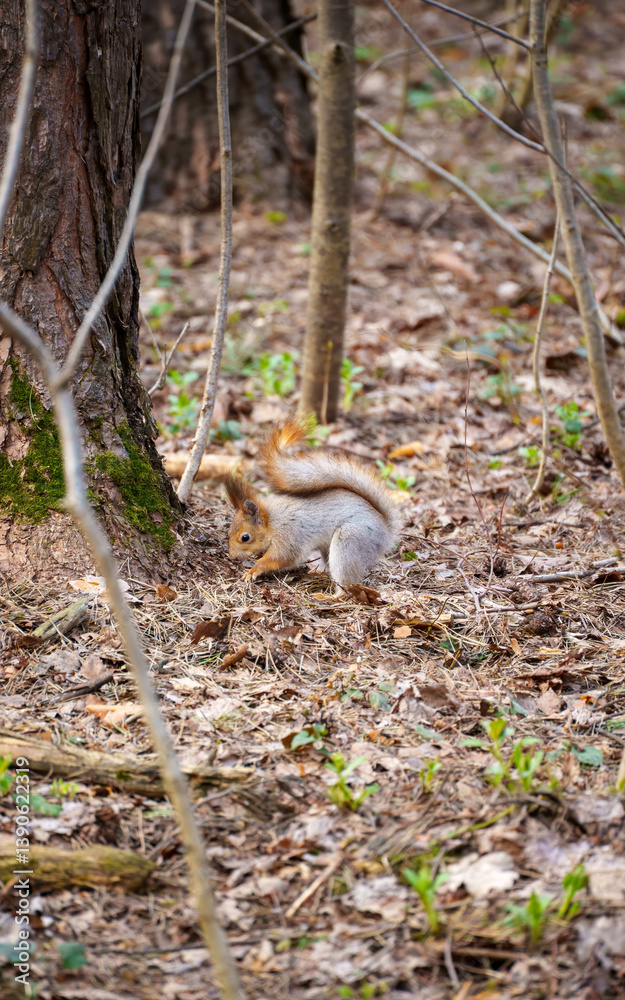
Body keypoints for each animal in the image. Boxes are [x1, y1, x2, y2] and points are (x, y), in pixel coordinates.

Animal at [224, 418, 403, 587]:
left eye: (245, 537)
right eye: (228, 532)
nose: (233, 557)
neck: (272, 521)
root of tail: (386, 533)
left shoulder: (289, 536)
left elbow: (282, 558)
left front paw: (253, 570)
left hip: (350, 540)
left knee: (347, 582)